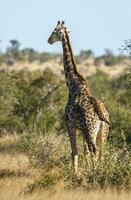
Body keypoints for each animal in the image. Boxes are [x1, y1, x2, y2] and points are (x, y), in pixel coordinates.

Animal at [47, 20, 109, 173]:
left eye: (54, 30)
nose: (49, 40)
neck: (72, 84)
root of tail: (101, 114)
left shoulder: (70, 125)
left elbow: (74, 151)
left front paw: (75, 174)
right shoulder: (80, 128)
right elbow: (84, 151)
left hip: (90, 130)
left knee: (94, 150)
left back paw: (95, 172)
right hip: (103, 132)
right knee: (101, 151)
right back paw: (102, 170)